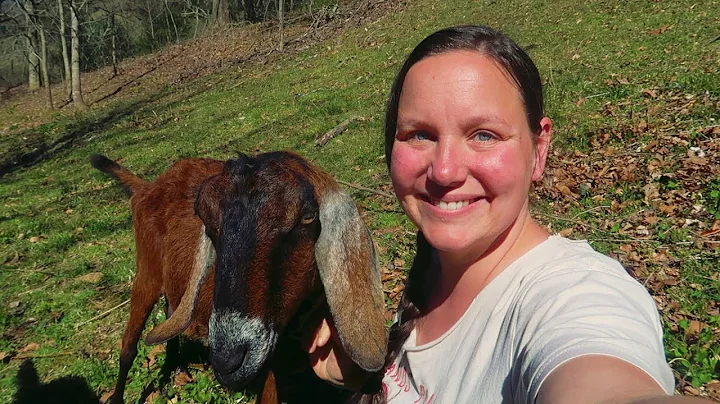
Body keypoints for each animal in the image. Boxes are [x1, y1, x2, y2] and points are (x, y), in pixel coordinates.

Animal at [90, 151, 388, 404]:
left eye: (307, 217)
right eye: (208, 225)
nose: (227, 360)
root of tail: (148, 187)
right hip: (146, 272)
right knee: (128, 347)